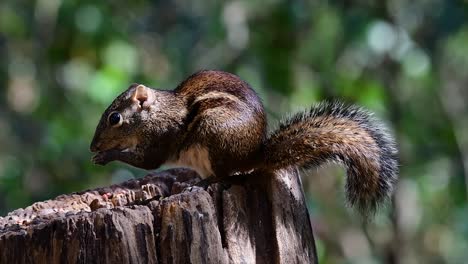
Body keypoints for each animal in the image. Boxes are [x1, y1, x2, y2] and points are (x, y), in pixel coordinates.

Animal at [90, 69, 398, 214]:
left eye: (115, 118)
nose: (93, 146)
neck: (158, 112)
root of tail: (253, 156)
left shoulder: (161, 137)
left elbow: (148, 161)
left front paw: (106, 156)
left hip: (214, 133)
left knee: (227, 176)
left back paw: (204, 183)